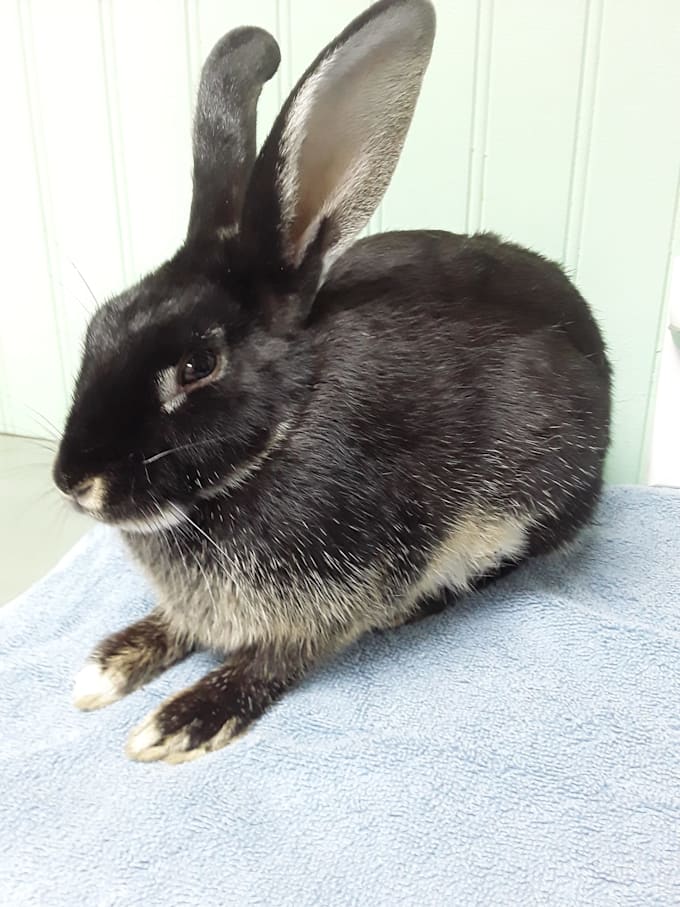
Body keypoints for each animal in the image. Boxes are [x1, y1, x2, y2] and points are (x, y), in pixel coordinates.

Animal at [54, 0, 611, 764]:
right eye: (101, 325)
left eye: (197, 366)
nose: (72, 481)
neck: (284, 429)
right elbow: (178, 623)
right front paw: (108, 665)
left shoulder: (347, 585)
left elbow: (281, 654)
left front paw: (184, 719)